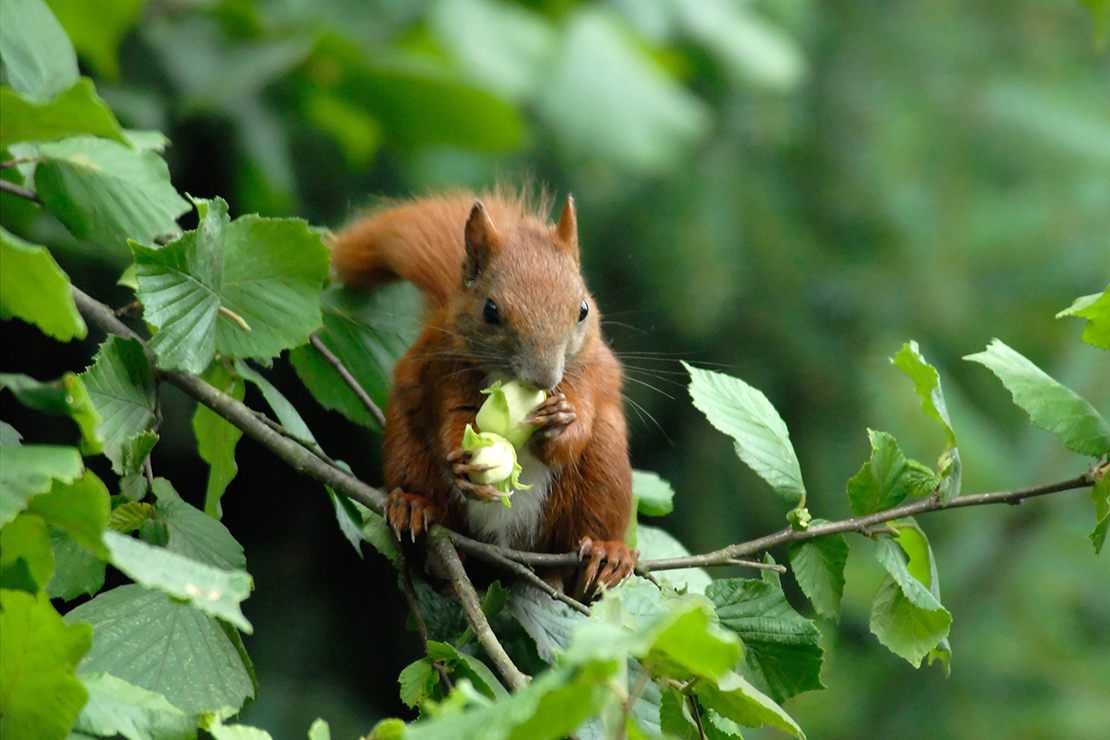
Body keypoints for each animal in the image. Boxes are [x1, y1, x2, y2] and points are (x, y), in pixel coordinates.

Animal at [328, 193, 639, 594]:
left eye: (583, 309)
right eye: (490, 310)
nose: (544, 379)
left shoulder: (588, 375)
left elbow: (577, 425)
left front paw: (561, 424)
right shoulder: (445, 367)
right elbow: (453, 416)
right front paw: (462, 460)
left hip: (604, 471)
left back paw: (606, 554)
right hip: (406, 448)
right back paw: (415, 512)